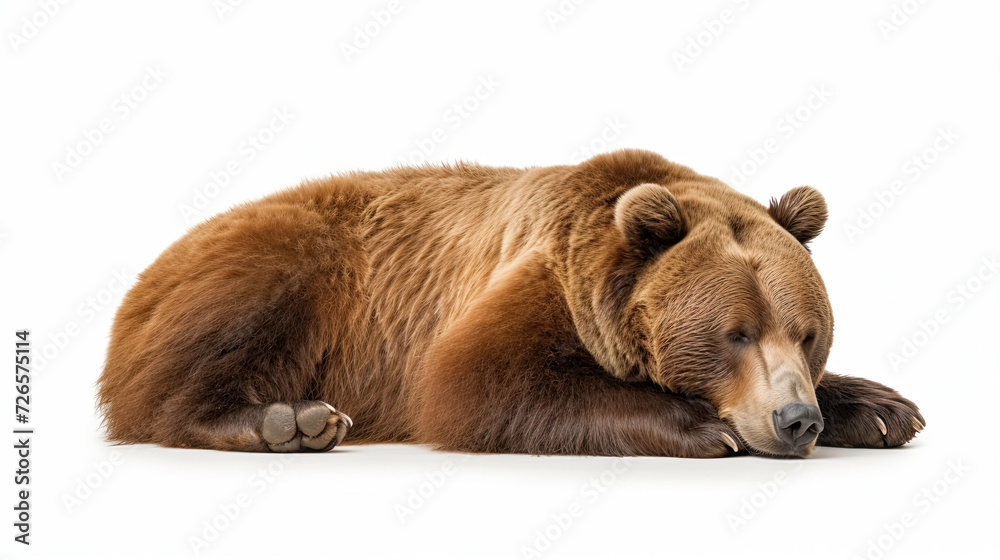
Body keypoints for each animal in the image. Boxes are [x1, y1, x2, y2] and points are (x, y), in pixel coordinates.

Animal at [97, 149, 923, 458]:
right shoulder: (534, 279)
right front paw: (701, 425)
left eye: (808, 333)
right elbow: (475, 380)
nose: (796, 420)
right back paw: (286, 420)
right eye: (735, 333)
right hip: (286, 262)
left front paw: (882, 408)